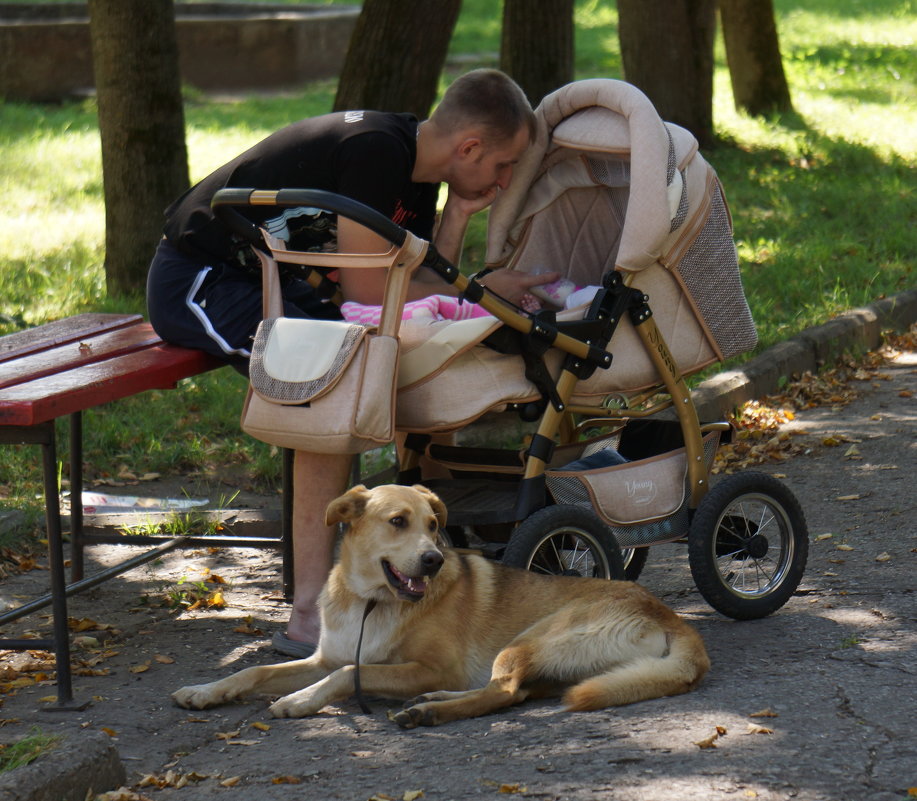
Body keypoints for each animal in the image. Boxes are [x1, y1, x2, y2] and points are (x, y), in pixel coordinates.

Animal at [174, 482, 708, 724]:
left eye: (433, 525)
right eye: (398, 522)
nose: (433, 559)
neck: (371, 603)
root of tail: (672, 617)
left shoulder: (429, 666)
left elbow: (347, 675)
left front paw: (301, 700)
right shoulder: (324, 657)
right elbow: (257, 670)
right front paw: (206, 690)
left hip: (528, 640)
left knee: (503, 692)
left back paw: (427, 712)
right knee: (516, 692)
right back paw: (430, 703)